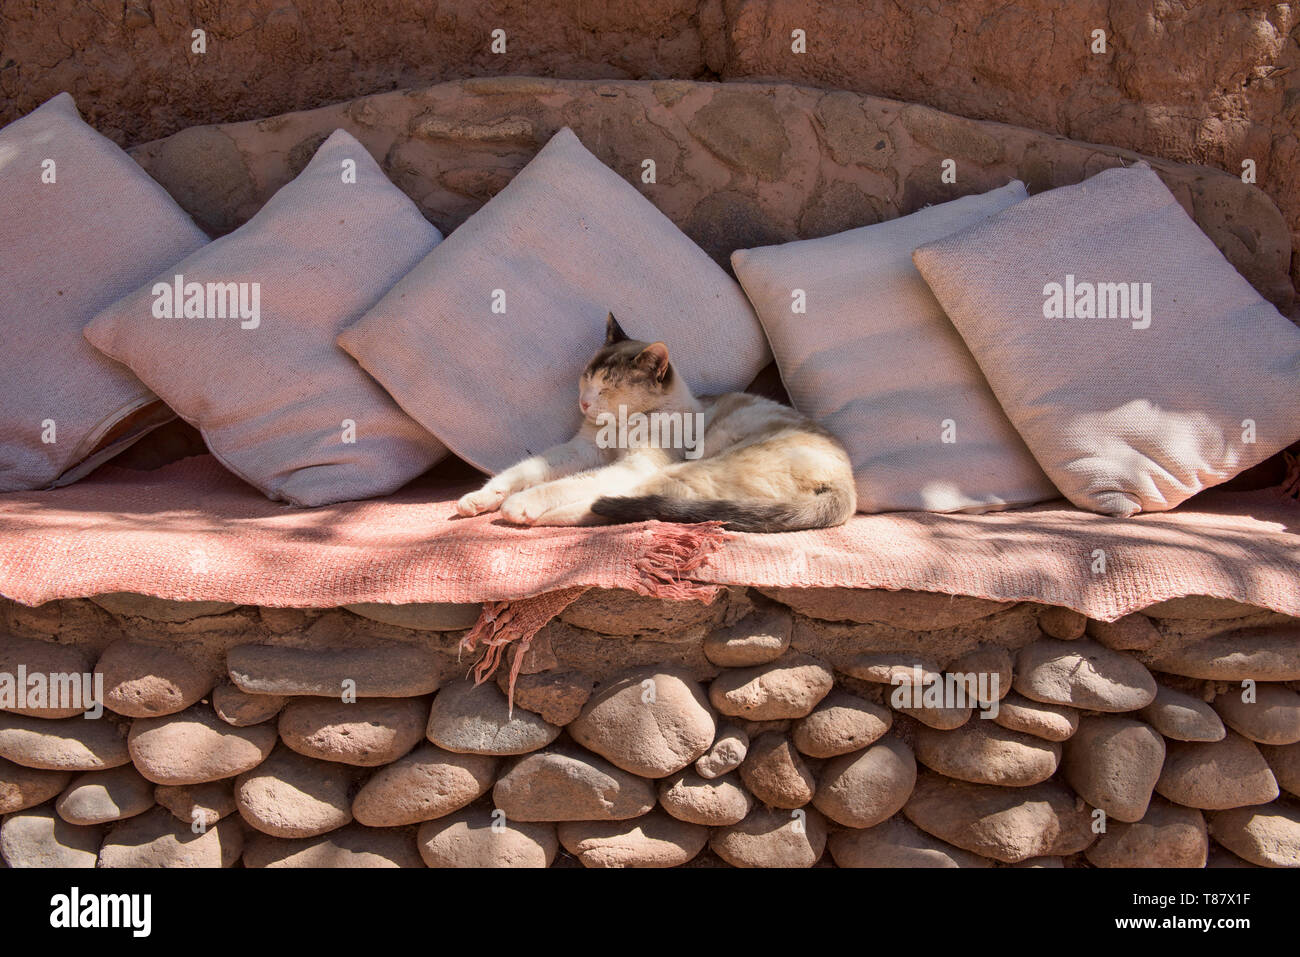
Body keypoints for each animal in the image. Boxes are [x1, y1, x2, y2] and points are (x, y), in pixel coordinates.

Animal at [452, 314, 857, 530]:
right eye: (586, 378)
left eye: (607, 387)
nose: (584, 402)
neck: (619, 428)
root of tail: (847, 482)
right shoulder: (580, 450)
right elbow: (525, 470)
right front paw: (481, 498)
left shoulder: (631, 465)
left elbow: (563, 484)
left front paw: (520, 504)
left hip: (686, 469)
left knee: (617, 503)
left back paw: (539, 517)